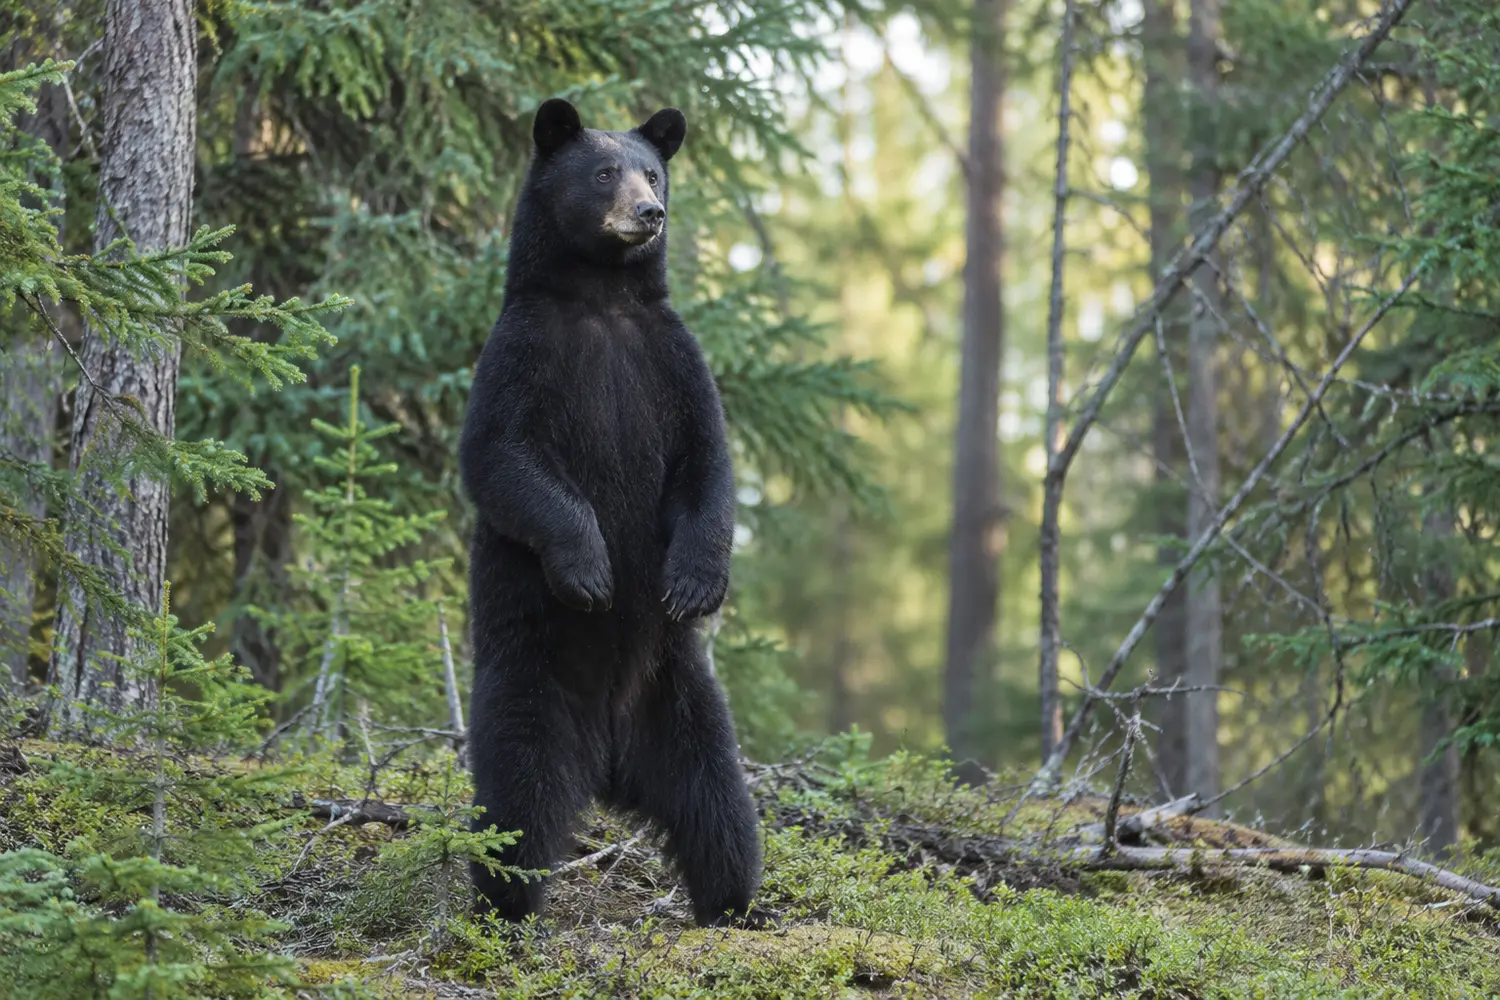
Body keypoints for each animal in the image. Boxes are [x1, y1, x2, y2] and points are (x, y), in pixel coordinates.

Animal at [458, 97, 766, 929]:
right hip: (531, 680)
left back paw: (732, 901)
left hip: (681, 697)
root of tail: (607, 761)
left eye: (652, 171)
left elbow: (709, 463)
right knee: (517, 797)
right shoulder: (520, 355)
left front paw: (696, 583)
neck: (602, 298)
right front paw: (591, 569)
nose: (649, 214)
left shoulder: (674, 361)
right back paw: (507, 901)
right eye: (603, 173)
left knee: (719, 801)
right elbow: (499, 458)